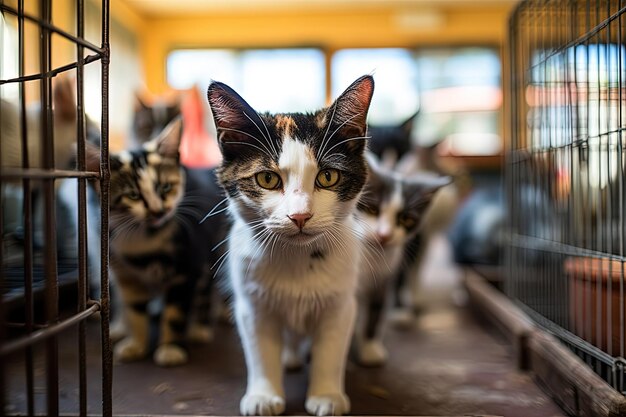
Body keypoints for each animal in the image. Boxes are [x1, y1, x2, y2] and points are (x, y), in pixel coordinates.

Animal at [84, 116, 227, 364]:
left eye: (165, 187)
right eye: (133, 195)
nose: (158, 211)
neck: (146, 236)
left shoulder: (186, 267)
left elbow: (176, 313)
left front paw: (171, 349)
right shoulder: (126, 273)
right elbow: (135, 310)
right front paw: (136, 345)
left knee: (206, 286)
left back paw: (200, 328)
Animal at [205, 75, 372, 416]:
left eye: (328, 176)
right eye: (267, 179)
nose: (300, 215)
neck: (296, 255)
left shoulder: (341, 304)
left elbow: (330, 349)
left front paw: (327, 394)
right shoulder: (251, 304)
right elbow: (260, 349)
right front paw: (264, 395)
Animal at [352, 153, 448, 364]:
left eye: (406, 219)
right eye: (372, 210)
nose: (384, 235)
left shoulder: (381, 281)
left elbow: (374, 313)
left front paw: (369, 348)